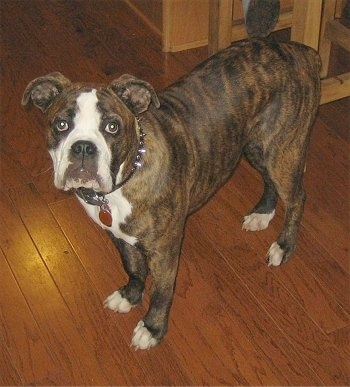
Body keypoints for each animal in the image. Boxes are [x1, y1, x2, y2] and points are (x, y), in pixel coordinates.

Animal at [21, 39, 322, 352]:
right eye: (61, 125)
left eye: (112, 127)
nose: (83, 147)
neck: (128, 174)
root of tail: (301, 50)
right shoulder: (118, 235)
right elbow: (133, 267)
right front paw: (130, 296)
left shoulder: (165, 249)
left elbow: (162, 290)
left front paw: (152, 328)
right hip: (256, 145)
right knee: (269, 180)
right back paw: (262, 213)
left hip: (282, 149)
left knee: (297, 197)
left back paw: (284, 246)